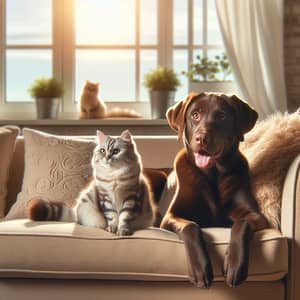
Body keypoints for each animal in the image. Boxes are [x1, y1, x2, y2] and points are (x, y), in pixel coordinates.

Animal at [27, 130, 156, 236]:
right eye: (102, 151)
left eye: (116, 151)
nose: (107, 158)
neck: (114, 175)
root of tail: (75, 212)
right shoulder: (105, 197)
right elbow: (112, 216)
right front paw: (112, 228)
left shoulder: (131, 197)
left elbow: (124, 217)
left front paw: (123, 231)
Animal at [161, 92, 268, 288]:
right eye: (195, 115)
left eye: (222, 116)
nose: (201, 139)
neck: (213, 174)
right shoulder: (170, 216)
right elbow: (190, 226)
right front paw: (200, 268)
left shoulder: (256, 215)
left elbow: (241, 224)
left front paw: (235, 264)